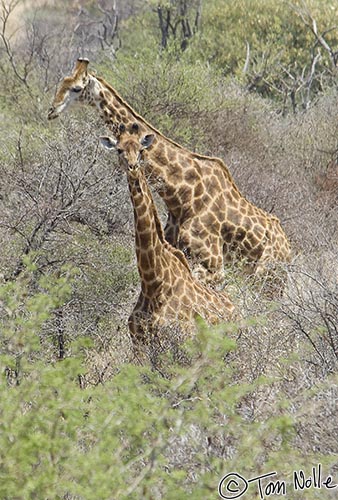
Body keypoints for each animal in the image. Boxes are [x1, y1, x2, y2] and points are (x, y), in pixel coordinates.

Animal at [48, 57, 290, 286]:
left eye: (76, 88)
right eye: (61, 82)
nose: (52, 110)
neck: (181, 196)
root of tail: (288, 250)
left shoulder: (212, 265)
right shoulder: (180, 250)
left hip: (268, 277)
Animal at [99, 123, 234, 354]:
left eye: (141, 150)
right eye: (119, 150)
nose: (133, 167)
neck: (154, 282)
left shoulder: (177, 344)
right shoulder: (139, 344)